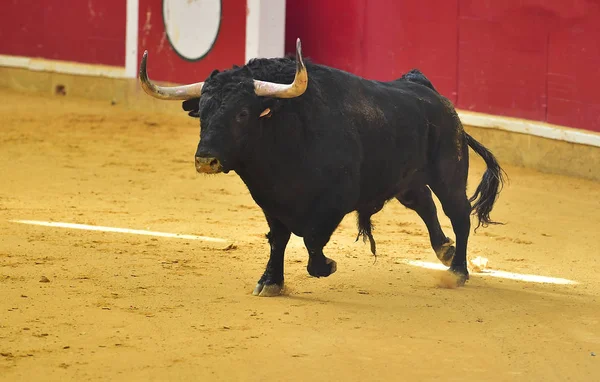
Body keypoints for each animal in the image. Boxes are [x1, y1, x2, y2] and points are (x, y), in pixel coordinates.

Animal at [141, 38, 506, 296]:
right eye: (201, 113)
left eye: (242, 113)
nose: (206, 159)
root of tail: (430, 92)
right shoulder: (271, 202)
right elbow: (279, 239)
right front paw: (270, 282)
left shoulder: (335, 202)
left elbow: (313, 238)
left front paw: (326, 266)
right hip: (407, 180)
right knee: (425, 204)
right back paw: (444, 250)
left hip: (449, 174)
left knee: (458, 214)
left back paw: (457, 271)